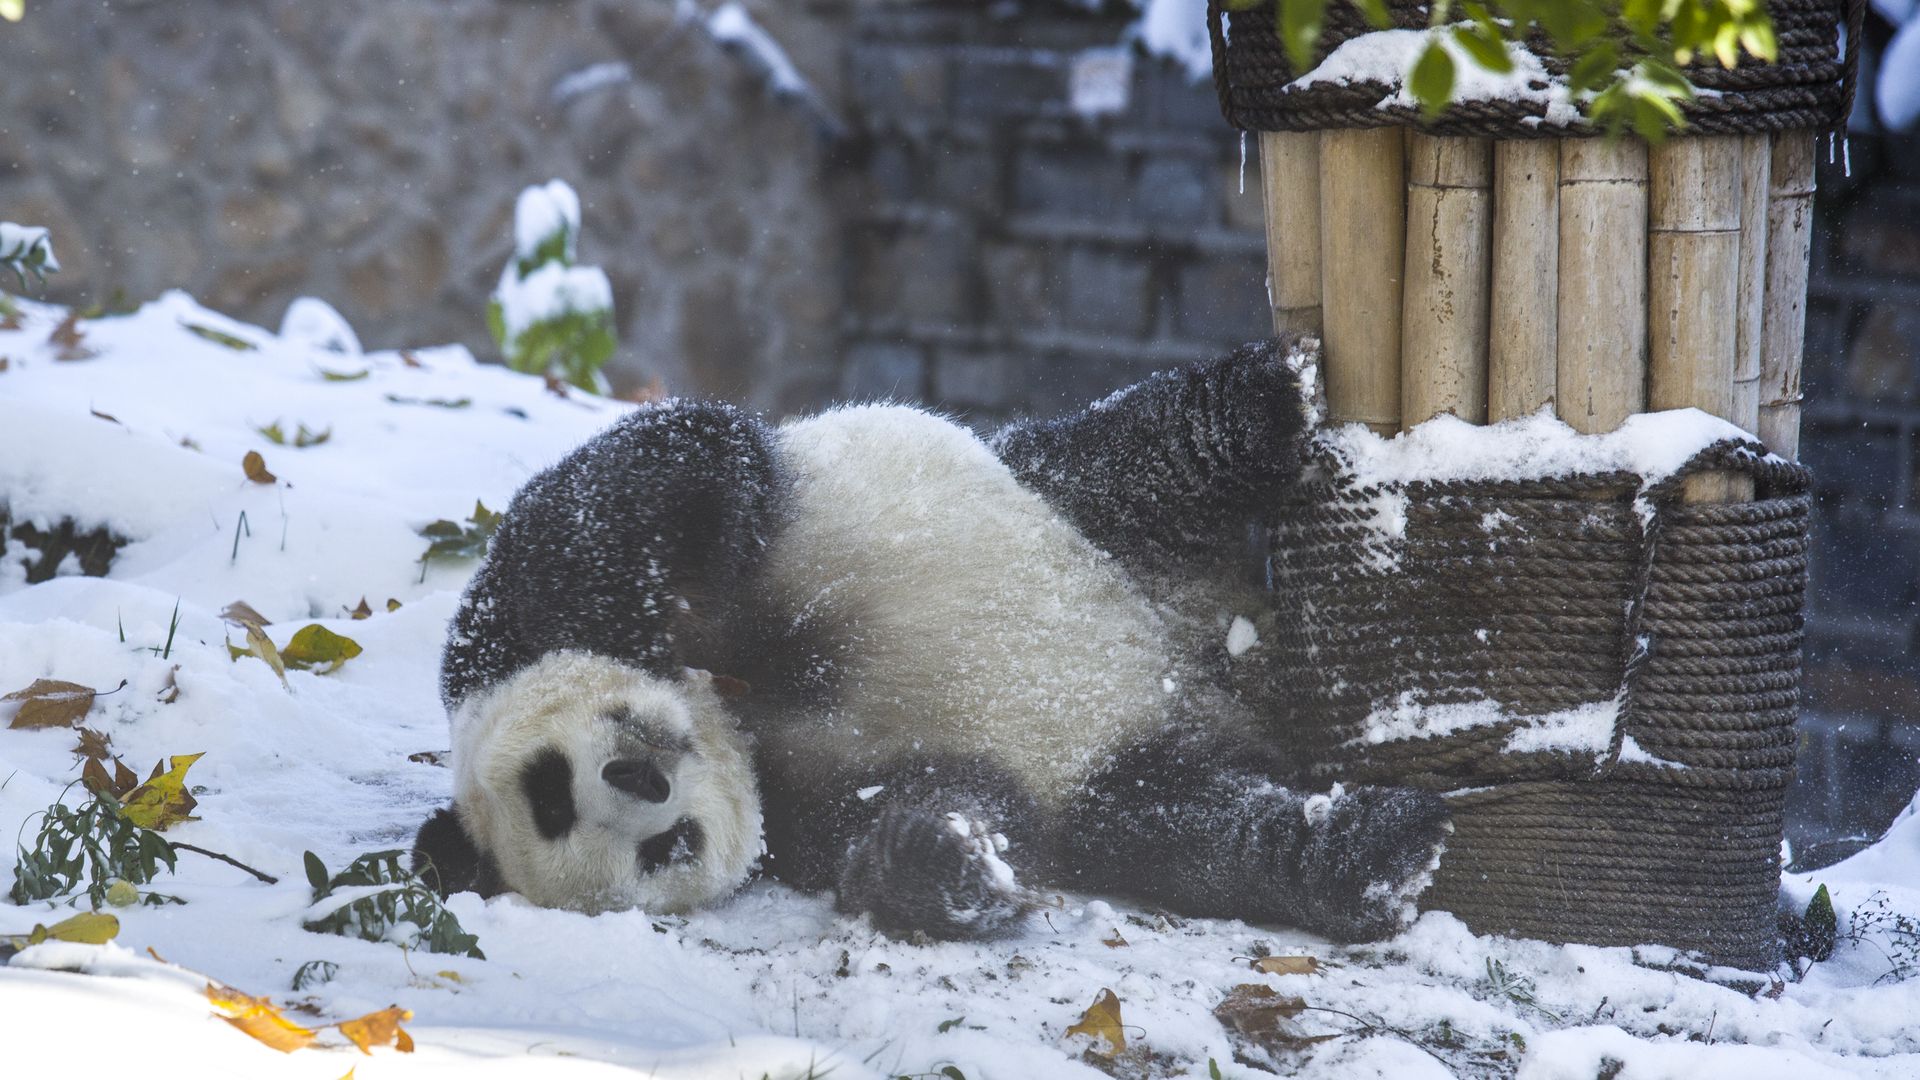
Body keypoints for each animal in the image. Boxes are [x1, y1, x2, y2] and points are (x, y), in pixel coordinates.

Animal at [412, 335, 1452, 942]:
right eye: (663, 851)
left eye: (550, 789)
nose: (645, 778)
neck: (738, 714)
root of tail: (1214, 667)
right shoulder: (805, 811)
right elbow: (940, 814)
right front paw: (951, 859)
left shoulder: (518, 623)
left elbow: (653, 476)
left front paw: (700, 562)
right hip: (1126, 783)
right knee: (1193, 828)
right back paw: (1376, 855)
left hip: (1082, 517)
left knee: (1141, 454)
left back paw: (1269, 396)